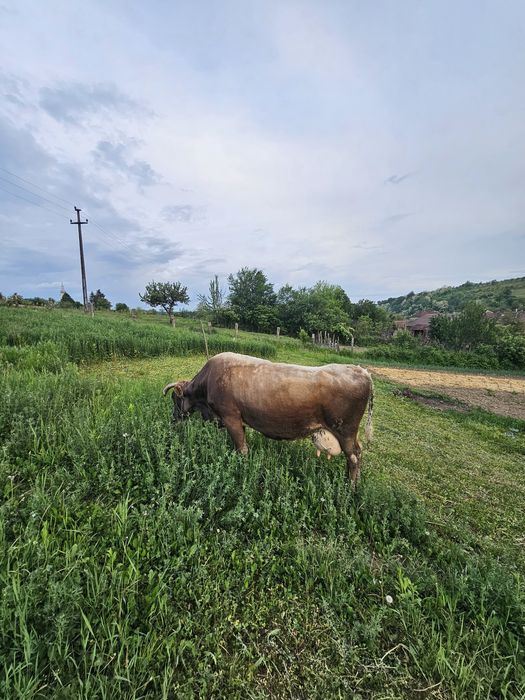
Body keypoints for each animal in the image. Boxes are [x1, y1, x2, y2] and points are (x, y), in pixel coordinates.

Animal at [163, 352, 374, 483]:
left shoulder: (231, 417)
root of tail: (361, 370)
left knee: (354, 456)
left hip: (345, 430)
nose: (172, 420)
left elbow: (242, 449)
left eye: (175, 399)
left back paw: (350, 487)